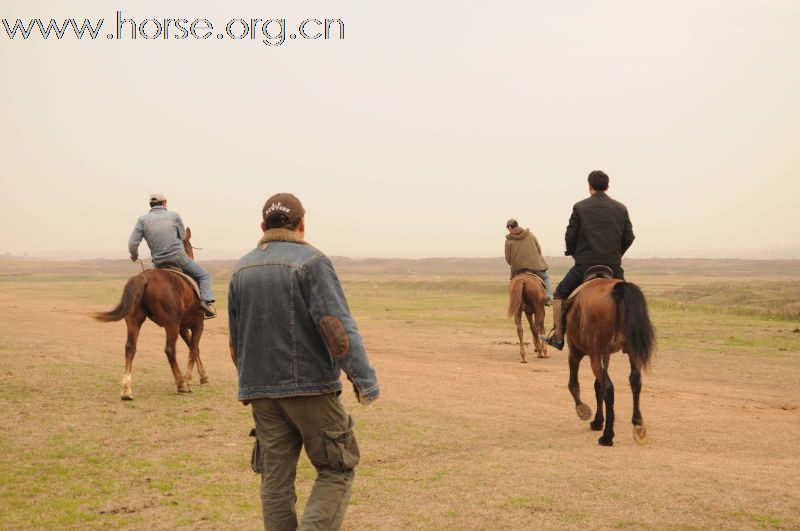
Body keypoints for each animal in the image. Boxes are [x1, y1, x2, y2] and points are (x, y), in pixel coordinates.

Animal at [93, 228, 209, 400]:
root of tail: (144, 277)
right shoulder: (197, 324)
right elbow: (194, 349)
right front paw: (190, 379)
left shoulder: (183, 328)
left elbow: (193, 348)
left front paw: (203, 376)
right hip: (171, 325)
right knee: (170, 350)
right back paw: (181, 384)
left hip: (134, 320)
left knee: (130, 348)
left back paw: (126, 390)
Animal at [564, 280, 652, 446]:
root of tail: (618, 289)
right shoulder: (606, 355)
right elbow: (597, 387)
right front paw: (598, 421)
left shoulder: (575, 352)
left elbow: (573, 384)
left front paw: (583, 409)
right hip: (631, 351)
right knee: (635, 381)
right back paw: (638, 425)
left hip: (593, 354)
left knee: (608, 388)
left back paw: (607, 436)